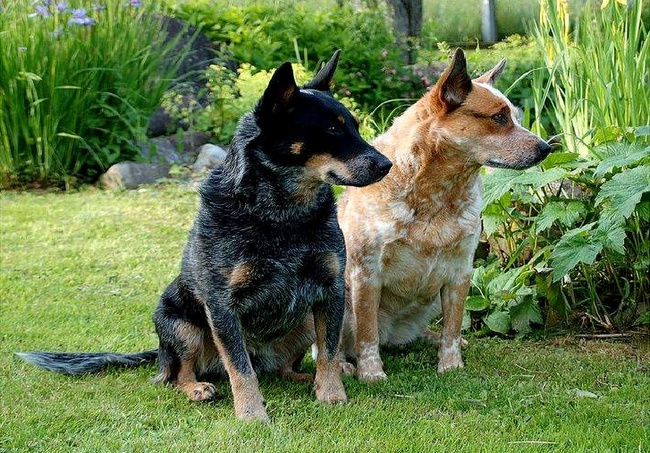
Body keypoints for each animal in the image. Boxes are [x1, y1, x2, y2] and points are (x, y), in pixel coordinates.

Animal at [17, 50, 393, 421]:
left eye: (355, 126)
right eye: (331, 129)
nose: (386, 164)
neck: (281, 216)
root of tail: (158, 353)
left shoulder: (331, 289)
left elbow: (328, 352)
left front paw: (331, 394)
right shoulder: (222, 303)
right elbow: (240, 367)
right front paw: (251, 414)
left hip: (302, 324)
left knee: (282, 367)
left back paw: (303, 377)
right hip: (180, 325)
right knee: (178, 374)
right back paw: (197, 388)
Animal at [337, 48, 552, 381]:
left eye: (516, 116)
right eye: (499, 118)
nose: (547, 147)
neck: (437, 197)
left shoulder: (461, 270)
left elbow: (453, 327)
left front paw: (451, 365)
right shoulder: (366, 272)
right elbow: (367, 334)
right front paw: (371, 373)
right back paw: (344, 365)